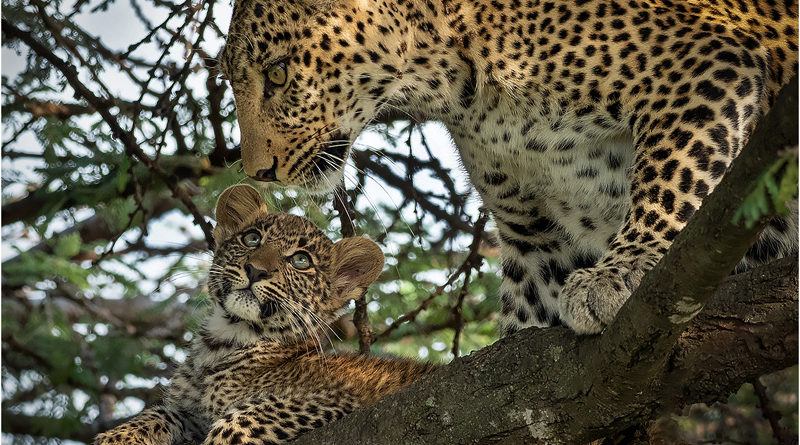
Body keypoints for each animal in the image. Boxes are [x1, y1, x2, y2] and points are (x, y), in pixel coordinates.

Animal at [94, 184, 438, 445]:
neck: (223, 340)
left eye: (301, 260)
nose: (255, 270)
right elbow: (161, 413)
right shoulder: (190, 412)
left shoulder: (340, 397)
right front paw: (117, 437)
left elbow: (244, 418)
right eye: (252, 239)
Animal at [218, 0, 798, 336]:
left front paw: (621, 272)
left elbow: (670, 181)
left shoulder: (704, 66)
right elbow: (528, 309)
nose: (259, 171)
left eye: (278, 73)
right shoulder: (535, 235)